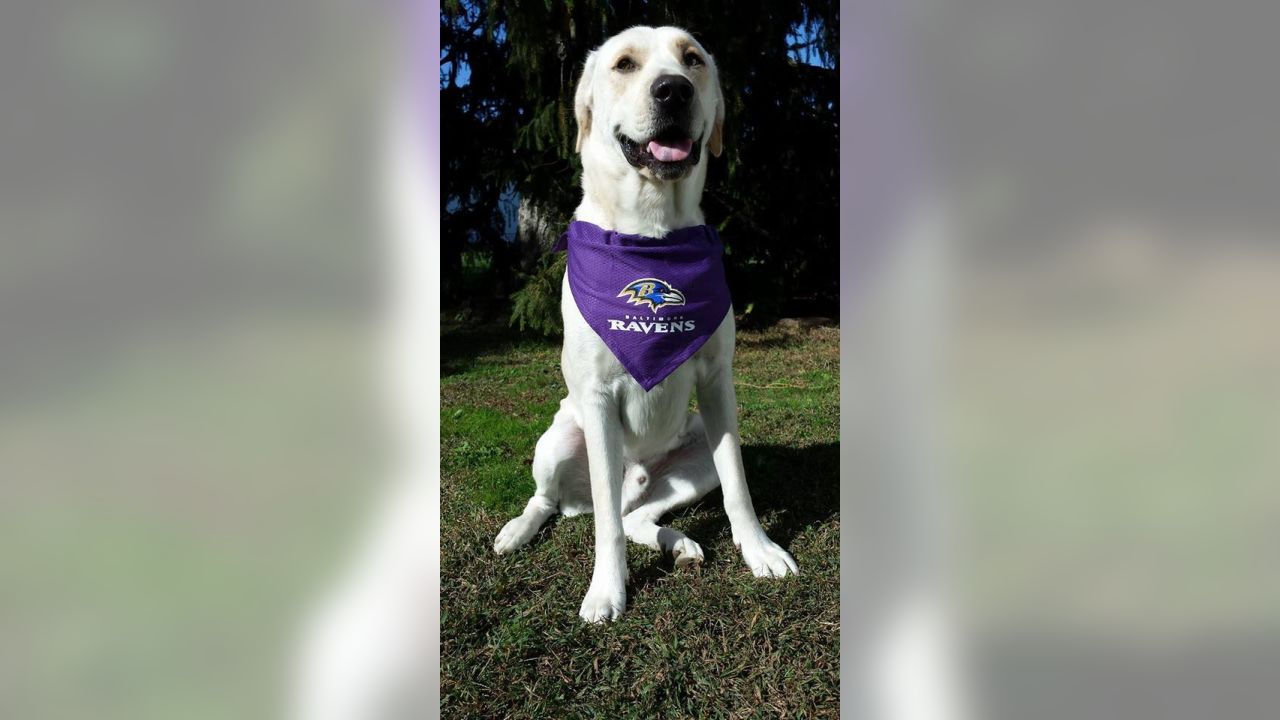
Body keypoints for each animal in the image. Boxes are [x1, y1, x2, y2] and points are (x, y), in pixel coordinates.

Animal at [491, 26, 798, 622]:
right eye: (624, 64)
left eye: (692, 59)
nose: (674, 90)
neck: (651, 237)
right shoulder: (597, 397)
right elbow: (606, 525)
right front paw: (607, 590)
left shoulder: (718, 384)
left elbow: (738, 486)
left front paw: (760, 550)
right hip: (560, 439)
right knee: (555, 501)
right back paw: (517, 530)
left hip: (693, 456)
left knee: (637, 515)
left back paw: (679, 544)